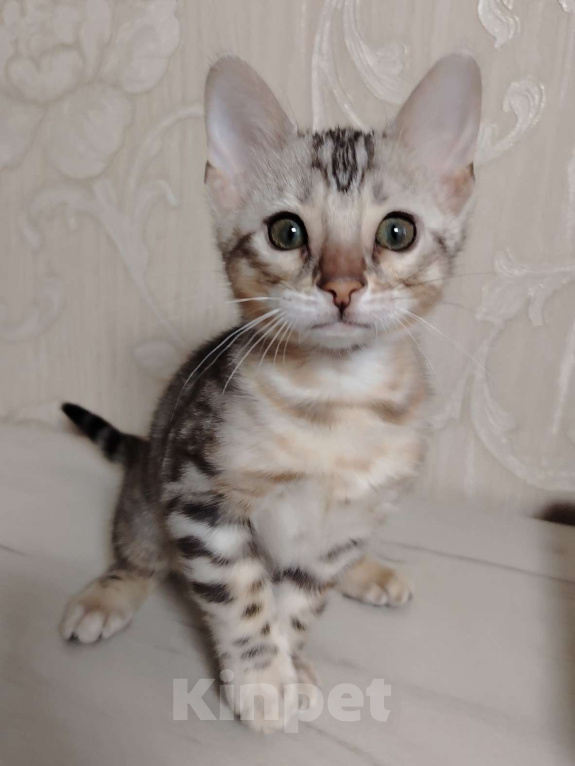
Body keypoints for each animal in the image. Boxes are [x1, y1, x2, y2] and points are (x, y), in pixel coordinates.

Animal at [60, 53, 481, 732]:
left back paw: (371, 572)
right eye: (287, 232)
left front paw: (290, 664)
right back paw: (108, 595)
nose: (342, 287)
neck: (336, 404)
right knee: (140, 554)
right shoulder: (200, 498)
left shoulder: (338, 530)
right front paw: (262, 681)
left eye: (397, 232)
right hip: (149, 495)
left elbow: (299, 601)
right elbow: (244, 598)